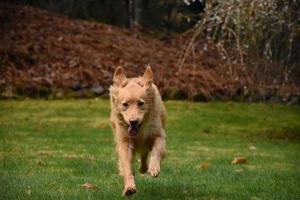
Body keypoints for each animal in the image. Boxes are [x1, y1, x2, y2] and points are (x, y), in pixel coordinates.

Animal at [109, 66, 166, 196]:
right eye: (125, 104)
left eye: (141, 103)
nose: (133, 121)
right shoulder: (124, 143)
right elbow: (127, 166)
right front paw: (129, 187)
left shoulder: (158, 135)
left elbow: (156, 151)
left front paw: (154, 168)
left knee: (144, 154)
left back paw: (144, 168)